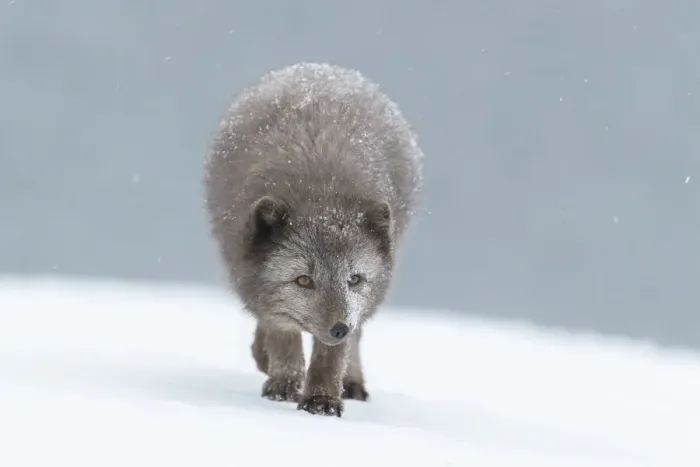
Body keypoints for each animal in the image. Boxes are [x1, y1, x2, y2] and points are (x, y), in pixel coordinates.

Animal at [203, 62, 423, 417]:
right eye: (304, 280)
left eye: (354, 279)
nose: (338, 328)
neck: (323, 195)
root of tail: (321, 70)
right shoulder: (261, 288)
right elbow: (283, 334)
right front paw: (284, 386)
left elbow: (333, 355)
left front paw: (322, 400)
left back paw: (351, 383)